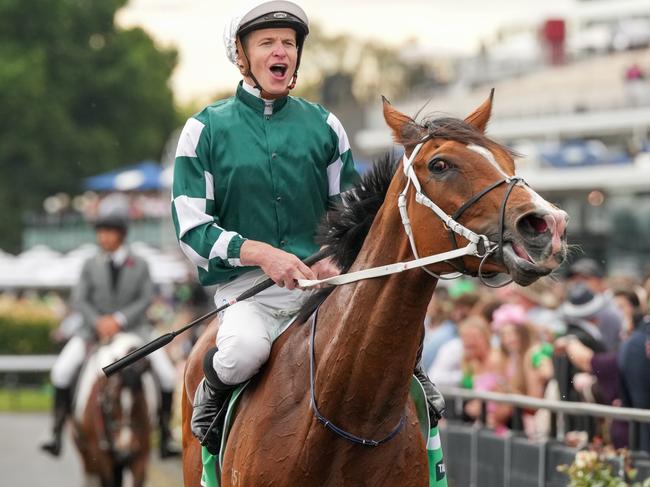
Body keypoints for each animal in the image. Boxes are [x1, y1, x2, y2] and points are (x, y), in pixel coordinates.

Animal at [73, 336, 158, 487]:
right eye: (113, 401)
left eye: (140, 402)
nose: (124, 448)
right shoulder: (101, 456)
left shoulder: (140, 456)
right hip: (86, 454)